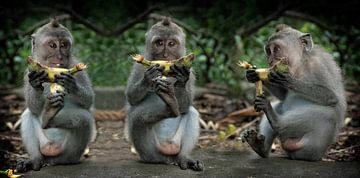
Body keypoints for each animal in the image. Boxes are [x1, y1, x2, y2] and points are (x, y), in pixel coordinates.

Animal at [16, 18, 94, 172]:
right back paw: (35, 161)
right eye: (52, 45)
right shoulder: (27, 73)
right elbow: (33, 108)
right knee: (27, 114)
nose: (59, 56)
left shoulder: (77, 65)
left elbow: (88, 101)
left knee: (85, 118)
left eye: (64, 45)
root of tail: (52, 156)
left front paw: (71, 84)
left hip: (69, 152)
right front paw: (36, 83)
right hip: (44, 145)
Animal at [124, 17, 204, 171]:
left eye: (171, 43)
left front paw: (181, 80)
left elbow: (185, 106)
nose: (165, 55)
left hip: (175, 144)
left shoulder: (191, 72)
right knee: (136, 116)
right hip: (150, 150)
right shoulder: (138, 66)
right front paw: (148, 78)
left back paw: (184, 157)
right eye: (159, 43)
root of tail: (167, 156)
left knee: (191, 112)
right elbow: (131, 98)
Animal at [243, 24, 348, 161]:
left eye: (276, 49)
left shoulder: (319, 66)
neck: (301, 65)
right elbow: (282, 96)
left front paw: (287, 80)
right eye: (268, 51)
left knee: (327, 114)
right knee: (279, 105)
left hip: (312, 148)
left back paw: (276, 121)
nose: (270, 61)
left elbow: (331, 96)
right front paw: (253, 74)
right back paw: (261, 147)